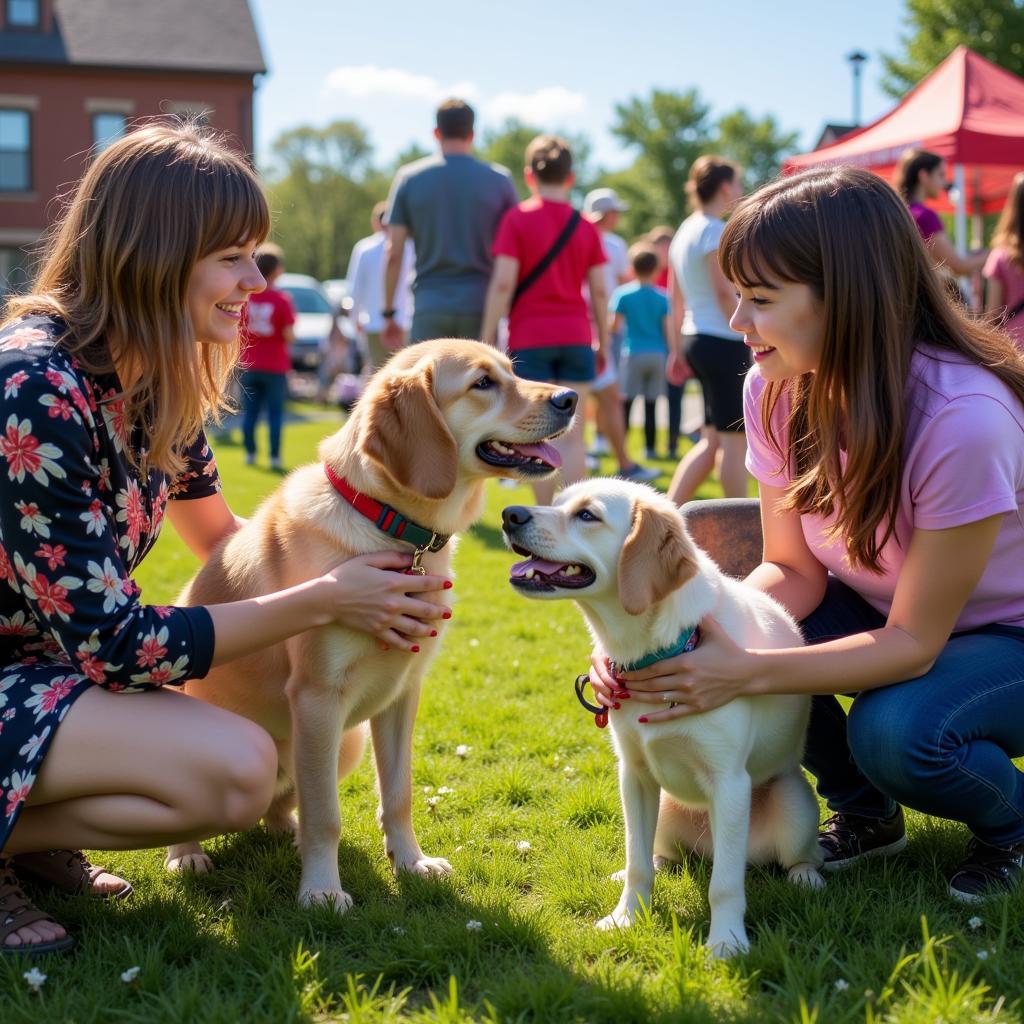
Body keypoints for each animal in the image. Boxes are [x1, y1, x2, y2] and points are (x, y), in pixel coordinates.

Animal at [163, 339, 573, 909]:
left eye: (512, 372)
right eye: (483, 383)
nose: (570, 397)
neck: (391, 525)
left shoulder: (402, 693)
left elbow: (398, 794)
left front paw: (412, 862)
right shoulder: (317, 698)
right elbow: (326, 815)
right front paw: (321, 890)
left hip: (348, 742)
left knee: (281, 808)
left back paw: (284, 830)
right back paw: (188, 853)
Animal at [501, 475, 823, 954]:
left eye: (587, 514)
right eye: (557, 502)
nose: (510, 514)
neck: (654, 650)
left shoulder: (730, 782)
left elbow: (724, 885)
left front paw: (727, 942)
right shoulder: (633, 775)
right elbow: (637, 863)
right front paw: (626, 918)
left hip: (793, 802)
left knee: (796, 857)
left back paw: (807, 878)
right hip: (668, 811)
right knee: (658, 855)